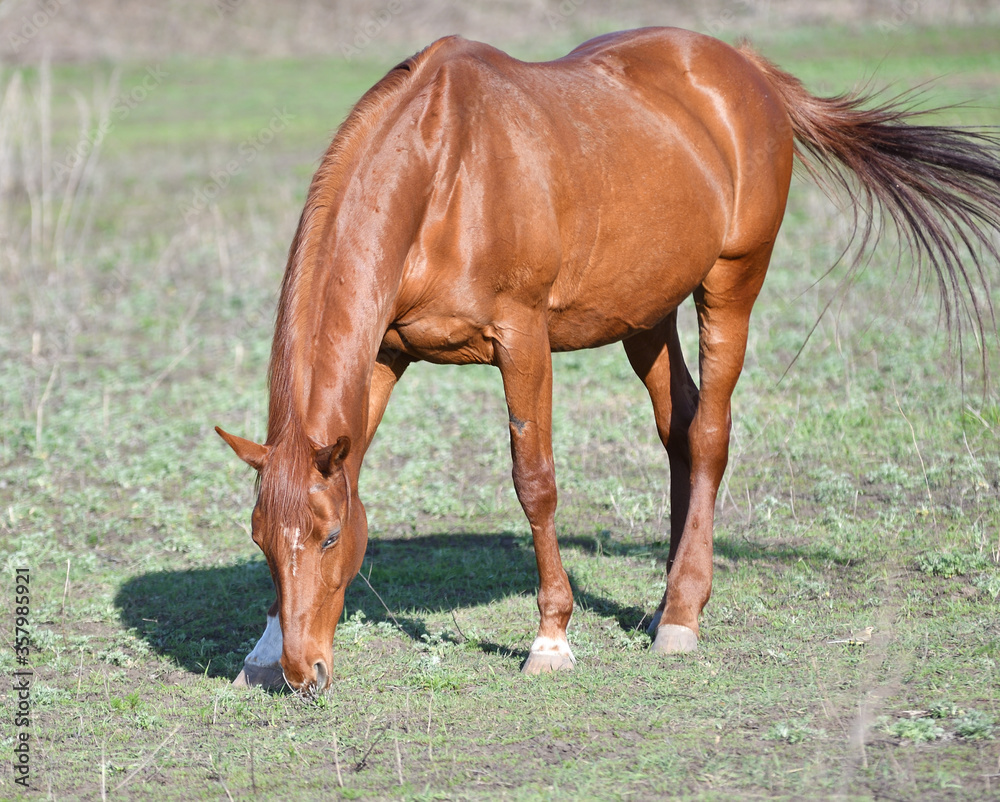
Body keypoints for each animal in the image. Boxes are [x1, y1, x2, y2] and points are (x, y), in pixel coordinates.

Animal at [217, 27, 1000, 697]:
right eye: (260, 539)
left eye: (330, 537)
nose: (304, 672)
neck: (444, 171)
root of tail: (744, 68)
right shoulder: (384, 353)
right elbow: (352, 465)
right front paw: (261, 647)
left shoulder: (522, 339)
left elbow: (535, 483)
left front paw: (551, 641)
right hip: (646, 315)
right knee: (680, 428)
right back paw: (669, 600)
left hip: (732, 283)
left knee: (710, 433)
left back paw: (682, 617)